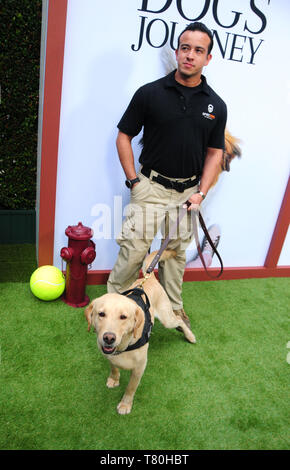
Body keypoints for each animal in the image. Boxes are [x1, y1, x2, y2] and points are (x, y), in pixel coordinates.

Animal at [85, 250, 196, 414]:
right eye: (101, 314)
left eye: (123, 317)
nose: (108, 338)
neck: (124, 346)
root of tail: (150, 278)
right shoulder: (108, 355)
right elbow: (113, 367)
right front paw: (114, 379)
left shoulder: (139, 368)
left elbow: (131, 388)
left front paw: (125, 404)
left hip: (167, 318)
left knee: (178, 320)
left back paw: (190, 335)